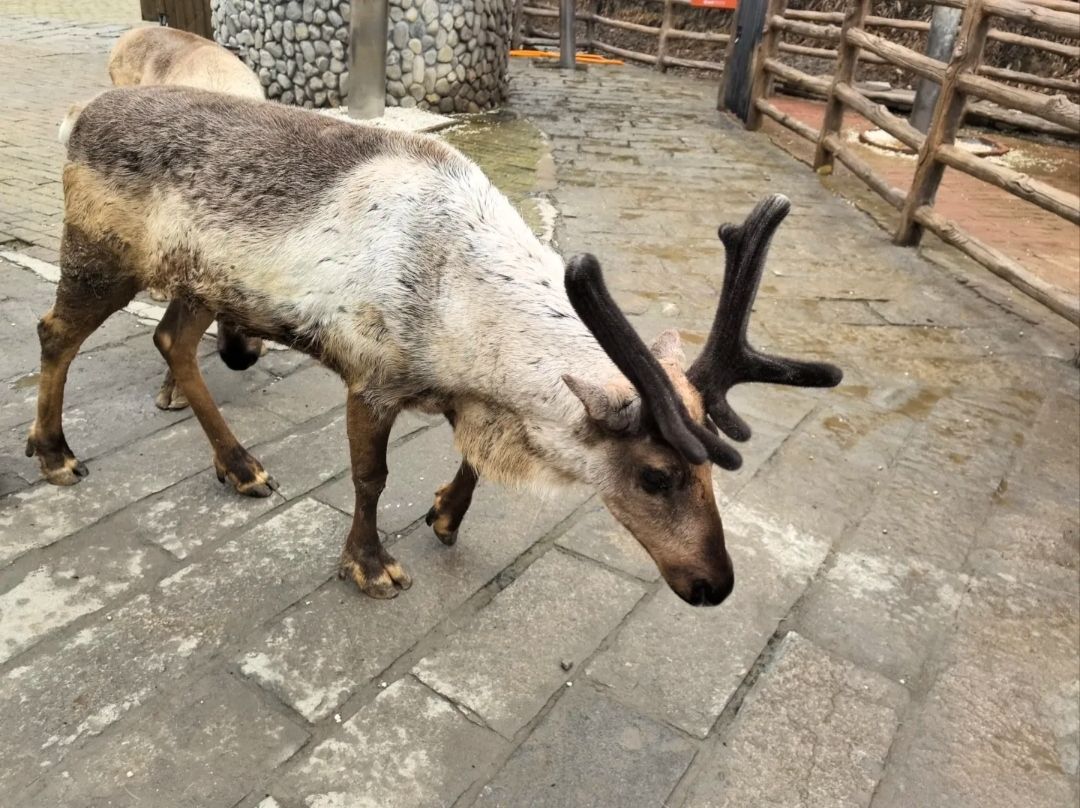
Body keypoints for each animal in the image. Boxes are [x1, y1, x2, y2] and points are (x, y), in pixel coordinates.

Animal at [30, 86, 841, 606]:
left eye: (710, 471)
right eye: (655, 475)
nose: (716, 584)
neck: (459, 310)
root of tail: (73, 119)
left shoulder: (466, 395)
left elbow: (472, 463)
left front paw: (446, 515)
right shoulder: (370, 375)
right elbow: (370, 478)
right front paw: (369, 566)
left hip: (201, 282)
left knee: (171, 339)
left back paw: (240, 466)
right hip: (102, 252)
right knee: (55, 333)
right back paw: (54, 452)